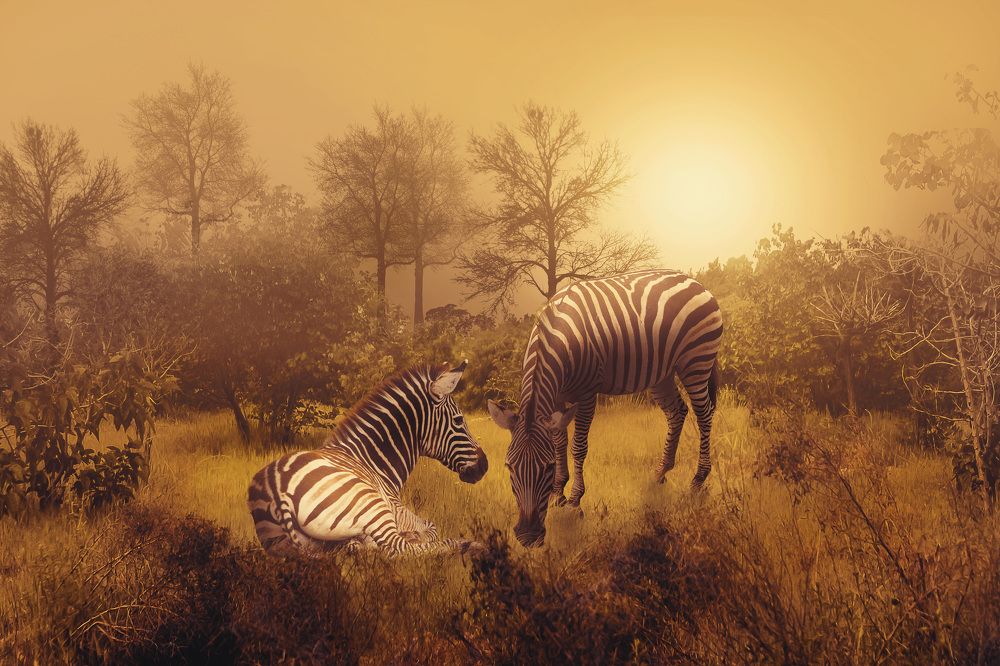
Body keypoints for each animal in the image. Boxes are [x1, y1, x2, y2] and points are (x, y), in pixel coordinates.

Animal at [248, 361, 488, 557]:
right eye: (458, 420)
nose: (484, 466)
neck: (373, 462)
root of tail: (278, 490)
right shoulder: (396, 509)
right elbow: (431, 527)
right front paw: (415, 535)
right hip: (371, 503)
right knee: (399, 548)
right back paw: (468, 545)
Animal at [487, 270, 723, 547]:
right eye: (509, 467)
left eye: (546, 467)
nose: (528, 537)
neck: (557, 335)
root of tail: (695, 281)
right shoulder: (556, 399)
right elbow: (559, 442)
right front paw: (558, 494)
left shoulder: (587, 394)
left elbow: (578, 447)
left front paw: (575, 502)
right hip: (662, 374)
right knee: (677, 412)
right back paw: (660, 474)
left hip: (696, 360)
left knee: (704, 414)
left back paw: (698, 479)